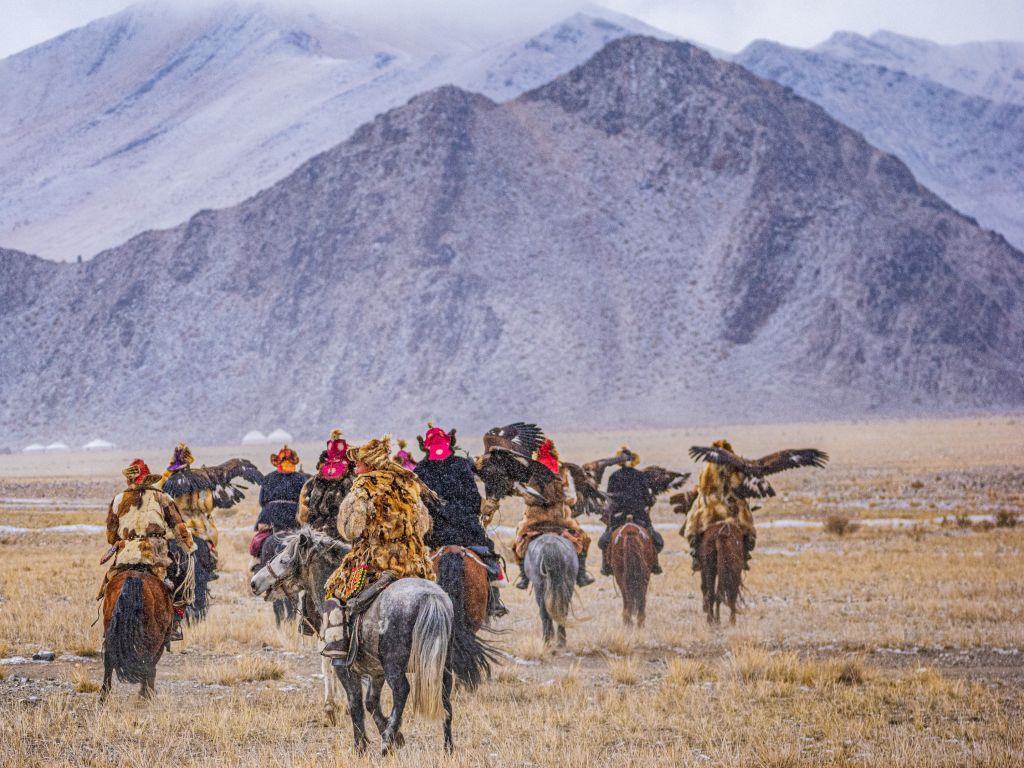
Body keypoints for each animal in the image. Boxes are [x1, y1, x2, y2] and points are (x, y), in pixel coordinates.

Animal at [99, 568, 174, 701]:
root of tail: (134, 579)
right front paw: (147, 694)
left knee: (108, 659)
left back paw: (104, 697)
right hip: (154, 640)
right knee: (147, 664)